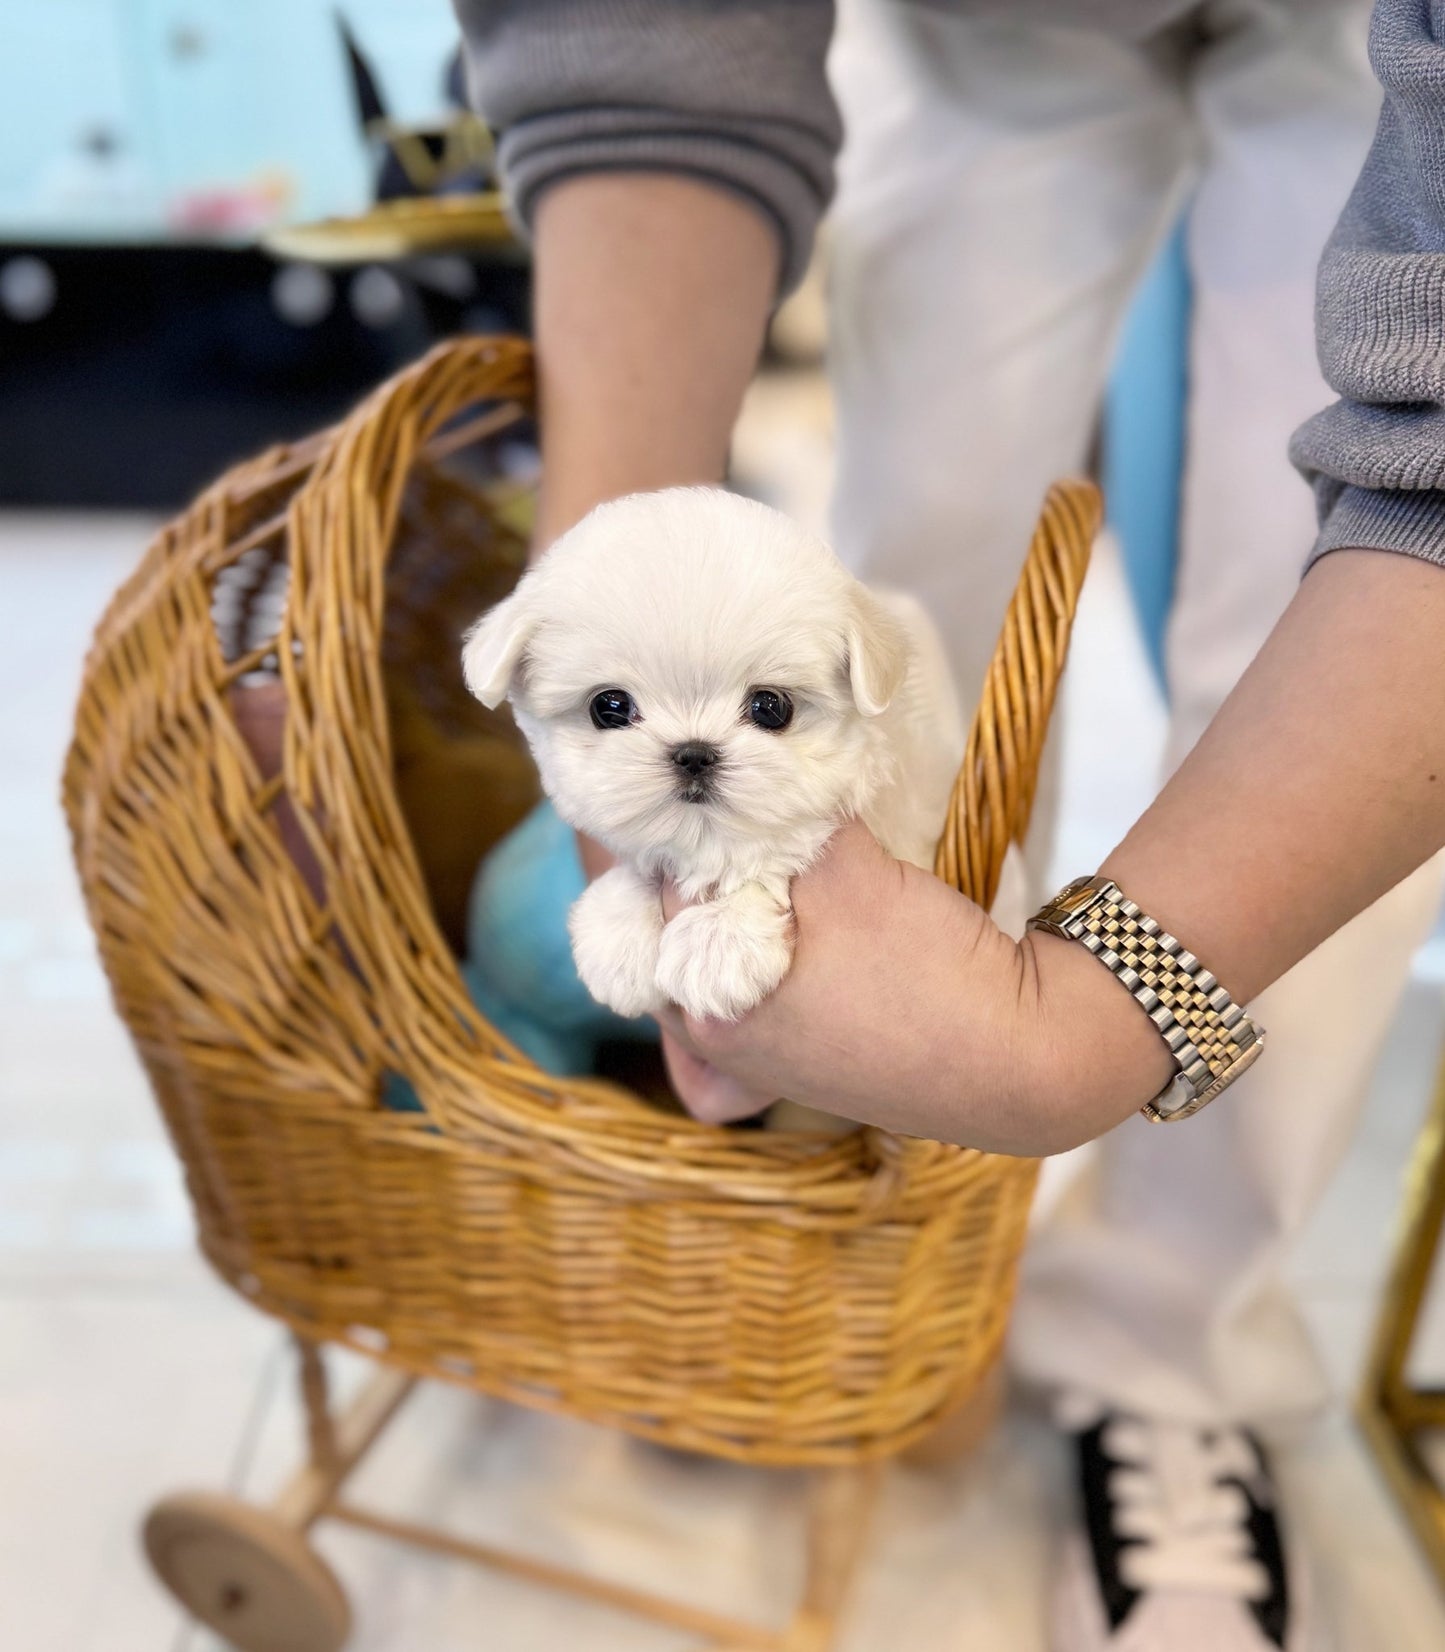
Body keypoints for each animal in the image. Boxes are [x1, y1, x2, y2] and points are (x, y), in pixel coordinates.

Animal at [469, 485, 977, 1030]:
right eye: (609, 707)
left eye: (771, 707)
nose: (693, 754)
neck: (706, 840)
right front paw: (619, 925)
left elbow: (781, 850)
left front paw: (719, 941)